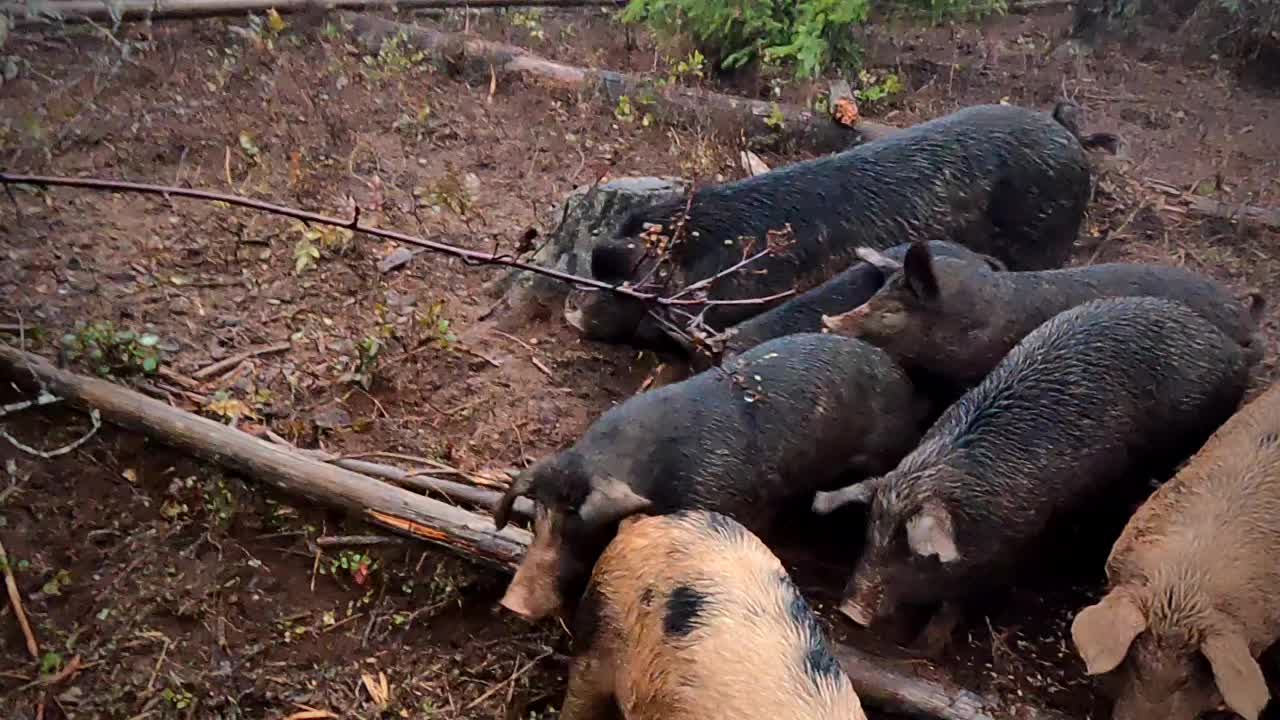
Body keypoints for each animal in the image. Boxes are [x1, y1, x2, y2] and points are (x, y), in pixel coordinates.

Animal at [814, 295, 1244, 650]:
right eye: (870, 535)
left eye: (912, 553)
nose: (850, 611)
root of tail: (1227, 347)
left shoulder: (1013, 547)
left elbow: (961, 598)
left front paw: (928, 645)